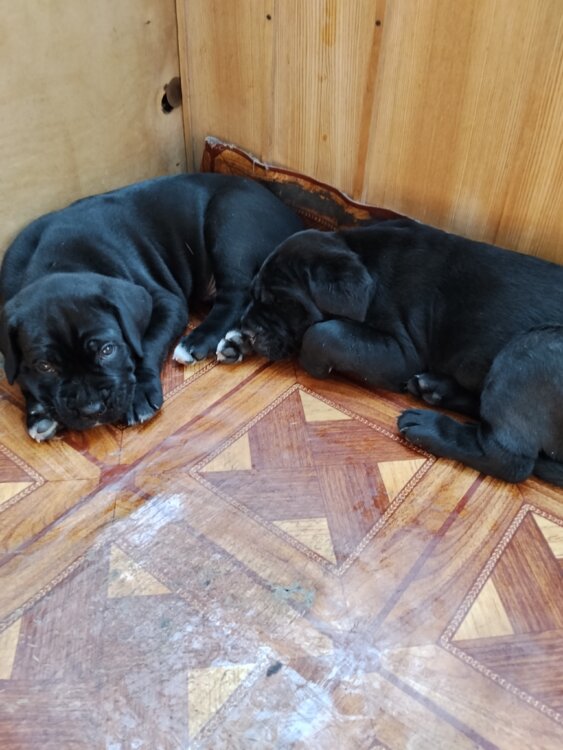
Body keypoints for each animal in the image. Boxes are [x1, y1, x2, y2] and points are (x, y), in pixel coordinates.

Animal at [0, 173, 303, 441]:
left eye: (107, 350)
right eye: (44, 366)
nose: (92, 408)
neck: (57, 262)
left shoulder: (167, 302)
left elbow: (146, 345)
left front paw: (140, 394)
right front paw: (38, 411)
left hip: (230, 220)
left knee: (236, 295)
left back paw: (197, 341)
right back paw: (237, 342)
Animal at [239, 219, 563, 487]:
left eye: (282, 302)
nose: (247, 331)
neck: (368, 264)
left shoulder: (402, 352)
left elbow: (323, 333)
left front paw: (312, 361)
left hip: (531, 346)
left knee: (508, 457)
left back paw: (429, 427)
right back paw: (435, 388)